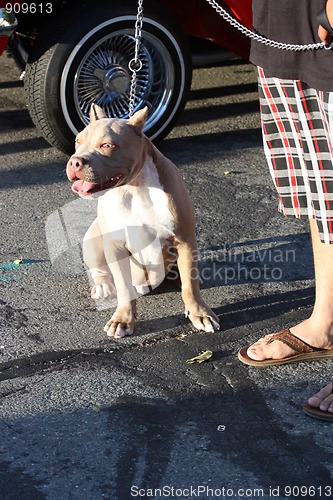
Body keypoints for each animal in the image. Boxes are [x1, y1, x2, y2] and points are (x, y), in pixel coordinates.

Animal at [66, 104, 219, 340]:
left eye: (107, 145)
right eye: (77, 141)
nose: (75, 161)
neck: (134, 187)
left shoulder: (185, 240)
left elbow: (190, 286)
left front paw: (200, 313)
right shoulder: (116, 246)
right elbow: (123, 286)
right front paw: (122, 319)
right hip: (93, 237)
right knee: (101, 270)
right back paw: (103, 286)